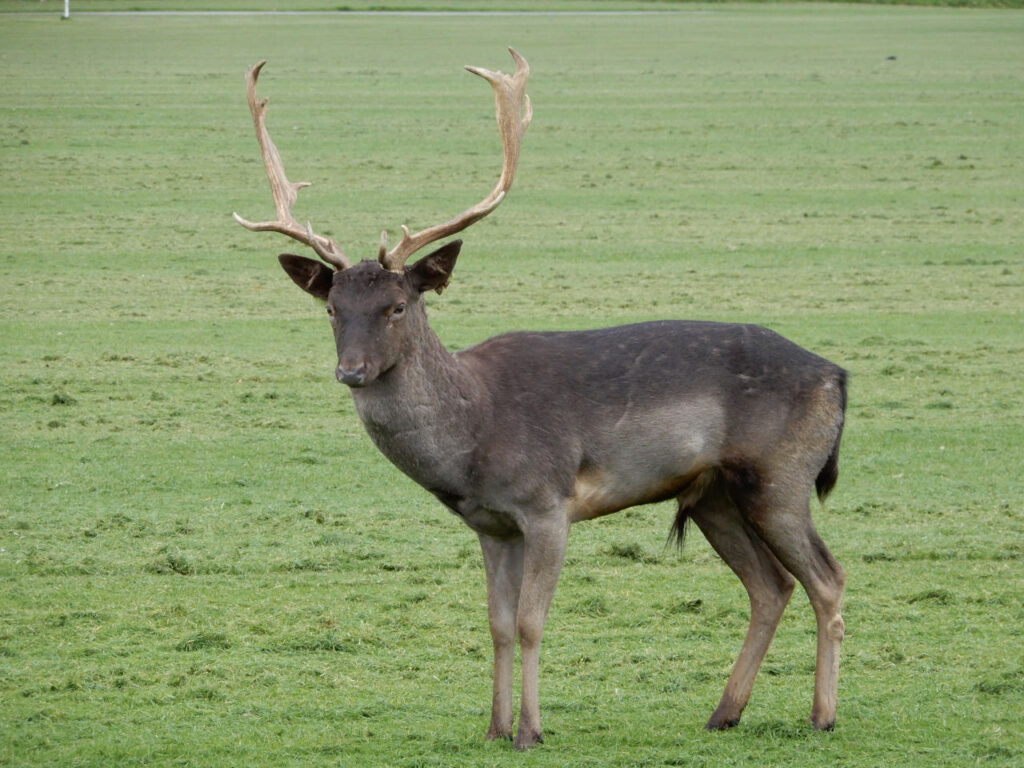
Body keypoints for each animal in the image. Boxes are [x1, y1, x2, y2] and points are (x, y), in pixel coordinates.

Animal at [232, 49, 847, 753]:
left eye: (397, 305)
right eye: (332, 308)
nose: (351, 371)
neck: (474, 438)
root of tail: (837, 376)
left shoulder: (548, 504)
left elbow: (531, 621)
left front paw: (530, 730)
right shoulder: (492, 524)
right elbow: (497, 624)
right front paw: (495, 728)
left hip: (781, 476)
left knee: (827, 578)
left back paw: (822, 716)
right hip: (715, 494)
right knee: (771, 587)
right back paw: (724, 712)